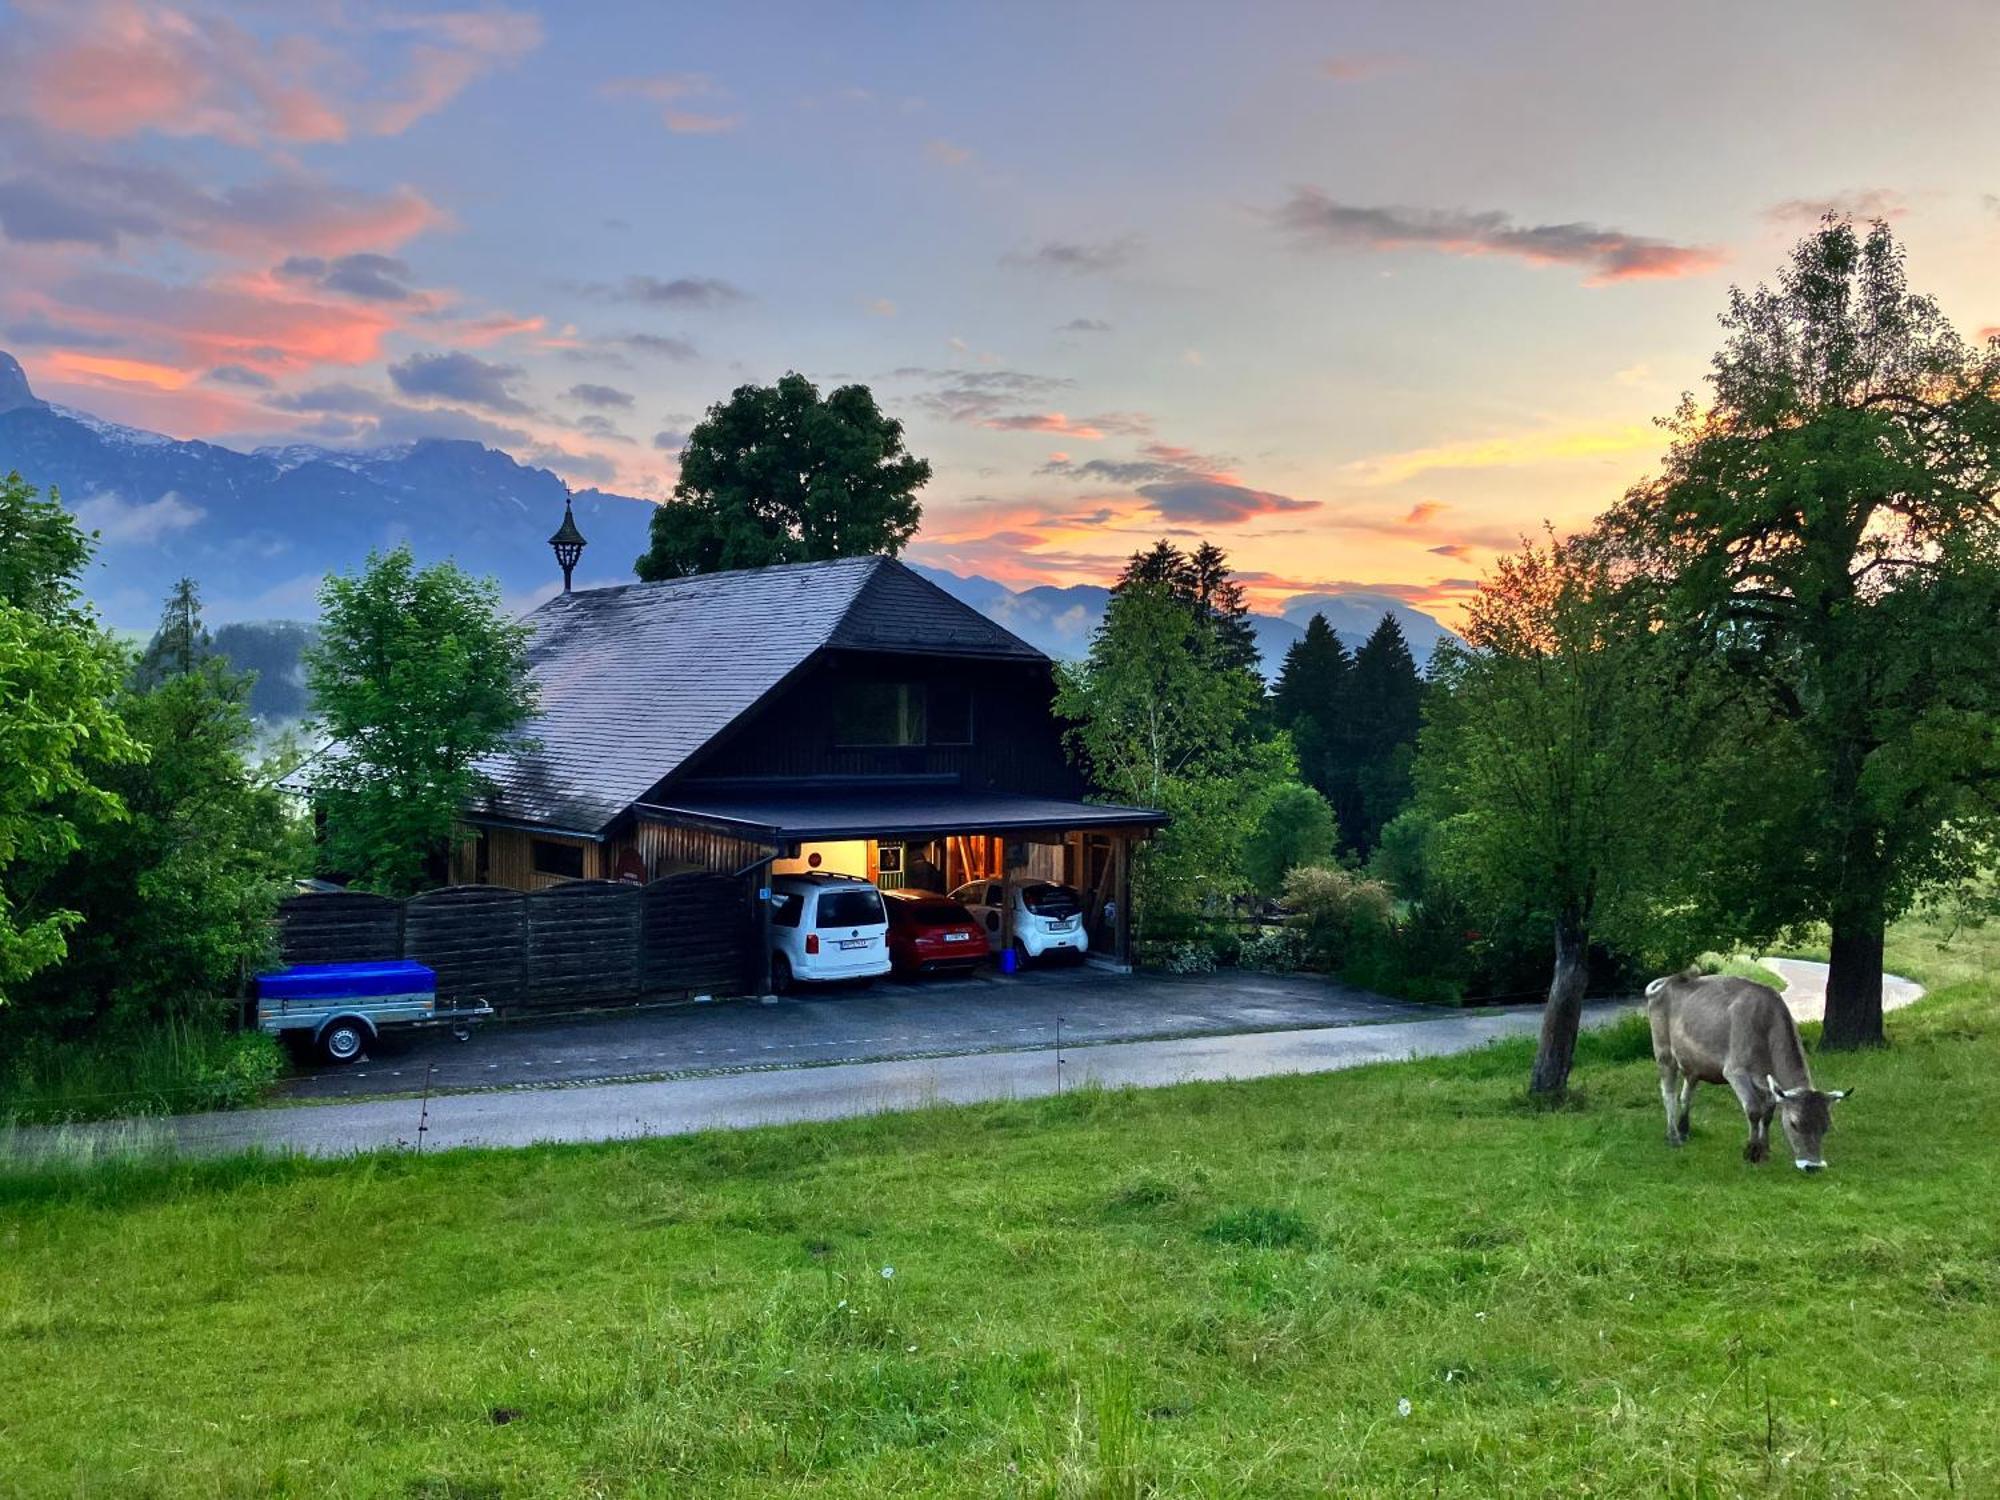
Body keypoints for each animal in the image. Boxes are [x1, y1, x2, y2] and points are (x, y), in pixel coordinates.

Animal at [1648, 976, 1848, 1176]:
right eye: (1794, 1124)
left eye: (1826, 1127)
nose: (1813, 1166)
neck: (1766, 1024)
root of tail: (1667, 980)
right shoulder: (1735, 1072)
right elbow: (1754, 1110)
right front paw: (1751, 1152)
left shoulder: (1766, 1082)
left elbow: (1768, 1113)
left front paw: (1764, 1150)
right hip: (1664, 1052)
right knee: (1669, 1094)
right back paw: (1673, 1136)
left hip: (1694, 1064)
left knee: (1686, 1095)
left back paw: (1683, 1130)